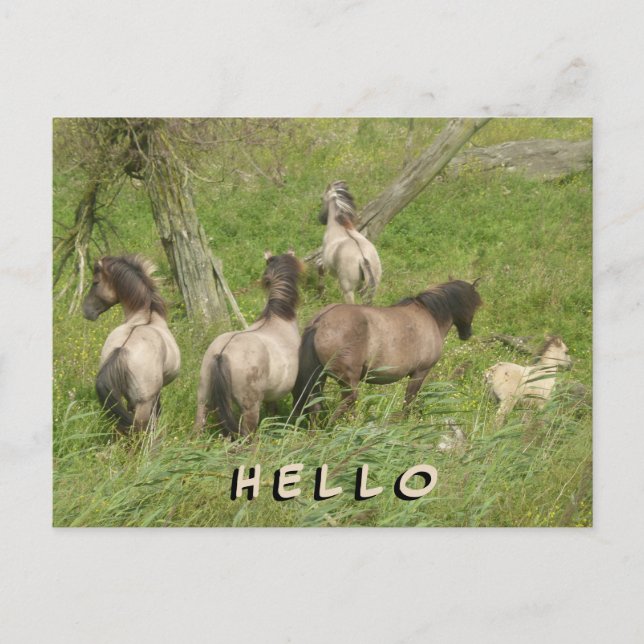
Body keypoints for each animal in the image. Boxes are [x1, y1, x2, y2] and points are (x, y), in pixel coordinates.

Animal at [82, 254, 181, 433]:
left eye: (95, 282)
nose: (86, 311)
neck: (147, 316)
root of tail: (122, 350)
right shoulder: (156, 394)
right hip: (143, 404)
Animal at [292, 279, 482, 422]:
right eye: (473, 305)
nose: (467, 333)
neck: (430, 316)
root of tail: (320, 321)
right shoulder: (420, 372)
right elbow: (409, 400)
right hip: (348, 379)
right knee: (347, 403)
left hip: (319, 376)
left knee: (315, 404)